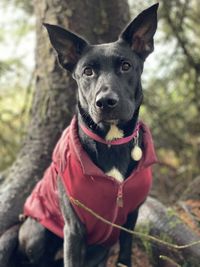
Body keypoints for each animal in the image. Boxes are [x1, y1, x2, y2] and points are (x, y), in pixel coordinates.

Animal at [19, 4, 159, 267]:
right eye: (87, 71)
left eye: (126, 66)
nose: (105, 102)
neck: (112, 143)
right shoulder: (74, 228)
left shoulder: (130, 217)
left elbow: (125, 253)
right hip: (36, 233)